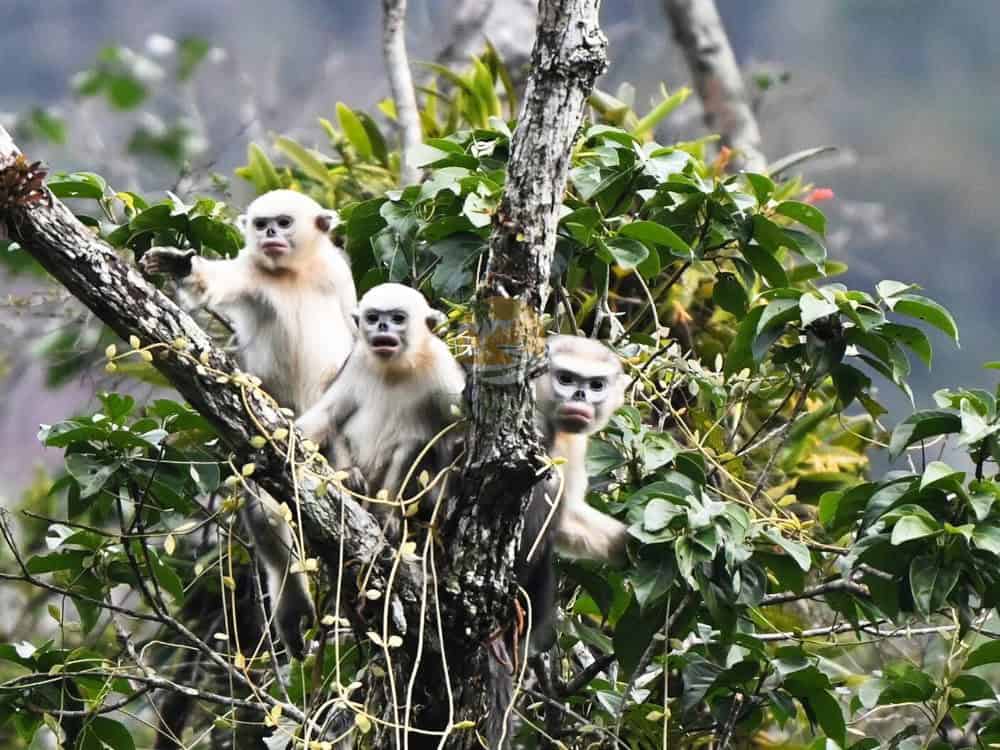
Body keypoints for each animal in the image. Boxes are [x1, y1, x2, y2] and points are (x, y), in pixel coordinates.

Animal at [140, 189, 358, 664]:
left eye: (283, 222)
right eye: (261, 225)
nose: (271, 233)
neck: (293, 274)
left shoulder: (338, 276)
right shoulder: (251, 274)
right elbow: (211, 282)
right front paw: (179, 265)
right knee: (268, 513)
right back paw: (294, 607)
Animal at [296, 282, 466, 533]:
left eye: (397, 318)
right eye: (373, 318)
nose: (382, 326)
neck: (395, 369)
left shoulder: (441, 364)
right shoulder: (356, 360)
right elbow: (326, 417)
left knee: (413, 444)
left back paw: (386, 513)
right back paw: (350, 479)